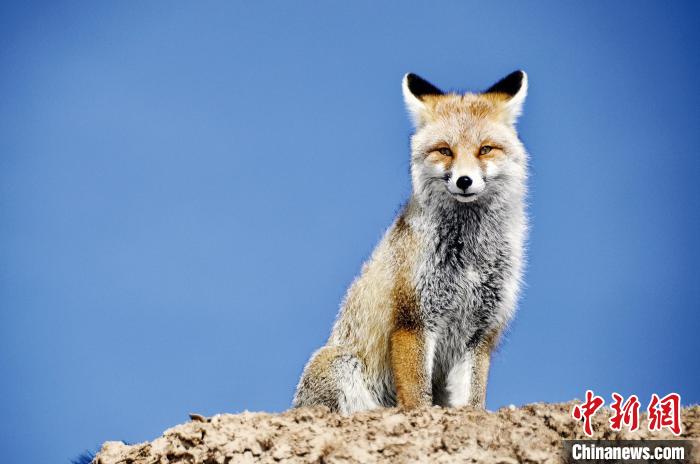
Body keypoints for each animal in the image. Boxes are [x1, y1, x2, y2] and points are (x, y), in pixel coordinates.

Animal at [292, 71, 528, 414]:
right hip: (338, 364)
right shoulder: (412, 320)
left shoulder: (480, 334)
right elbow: (417, 396)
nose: (464, 181)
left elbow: (471, 402)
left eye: (485, 149)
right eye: (445, 150)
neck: (469, 256)